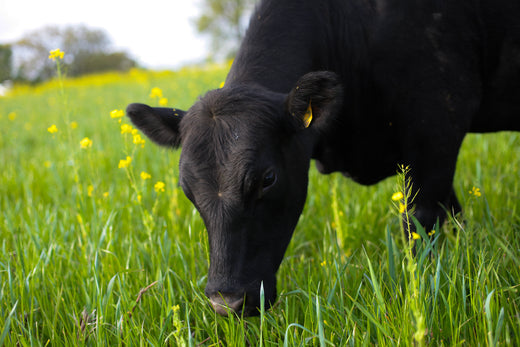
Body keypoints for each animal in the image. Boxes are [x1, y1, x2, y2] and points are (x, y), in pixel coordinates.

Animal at [125, 0, 520, 316]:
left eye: (267, 179)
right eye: (187, 190)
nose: (226, 303)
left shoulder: (437, 128)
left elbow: (422, 229)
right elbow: (453, 219)